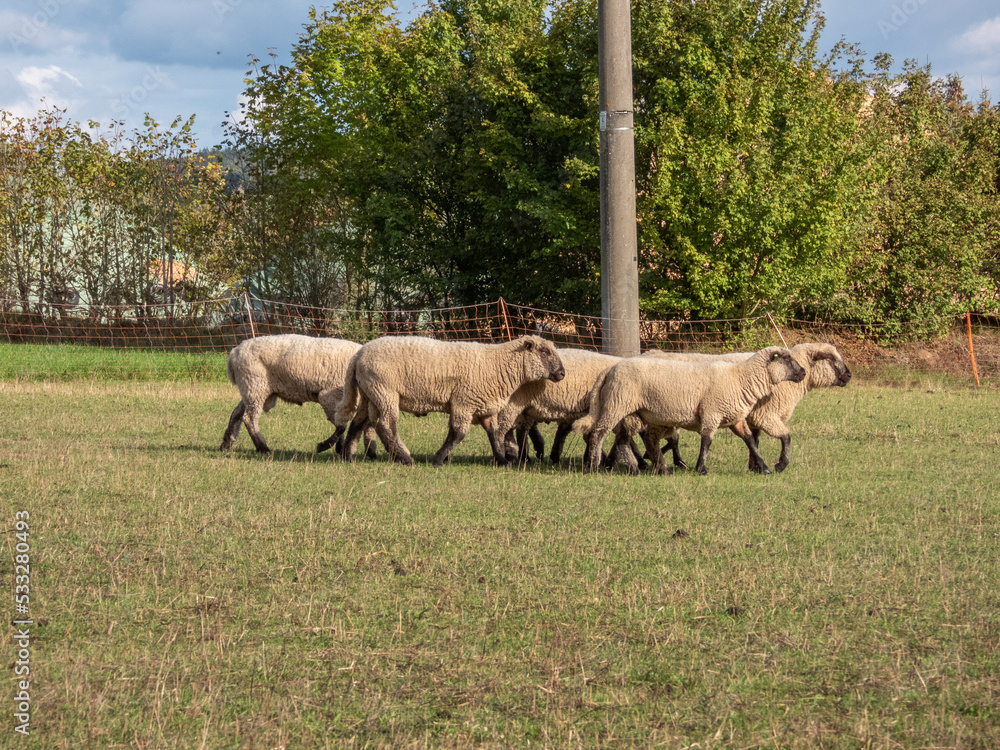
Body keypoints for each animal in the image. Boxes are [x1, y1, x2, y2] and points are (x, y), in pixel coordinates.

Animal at [220, 334, 376, 456]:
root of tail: (234, 352)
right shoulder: (330, 397)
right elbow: (341, 426)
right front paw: (324, 446)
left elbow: (346, 424)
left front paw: (342, 448)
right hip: (255, 386)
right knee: (249, 418)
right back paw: (263, 447)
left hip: (251, 389)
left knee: (236, 414)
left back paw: (227, 443)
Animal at [334, 335, 566, 467]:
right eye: (544, 351)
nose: (562, 373)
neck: (497, 365)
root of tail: (359, 354)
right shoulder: (464, 401)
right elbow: (458, 433)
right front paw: (439, 459)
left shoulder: (484, 406)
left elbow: (493, 434)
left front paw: (501, 460)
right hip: (384, 391)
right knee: (386, 426)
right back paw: (406, 459)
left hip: (370, 394)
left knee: (358, 423)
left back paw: (348, 457)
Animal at [573, 346, 806, 476]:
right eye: (787, 359)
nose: (803, 372)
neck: (740, 378)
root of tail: (610, 369)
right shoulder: (712, 413)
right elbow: (707, 441)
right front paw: (701, 469)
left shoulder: (735, 419)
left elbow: (750, 442)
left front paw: (765, 467)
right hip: (616, 405)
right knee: (598, 434)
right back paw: (593, 466)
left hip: (631, 413)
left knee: (623, 440)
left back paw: (640, 469)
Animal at [642, 343, 852, 473]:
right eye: (830, 358)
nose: (849, 375)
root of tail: (648, 353)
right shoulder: (765, 415)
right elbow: (785, 436)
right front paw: (780, 464)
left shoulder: (752, 417)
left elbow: (754, 440)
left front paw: (755, 466)